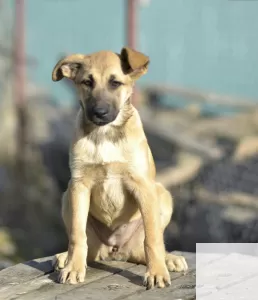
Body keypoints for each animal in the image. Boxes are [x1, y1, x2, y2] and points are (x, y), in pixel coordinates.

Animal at [51, 48, 187, 290]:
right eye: (87, 82)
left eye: (115, 83)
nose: (99, 113)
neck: (105, 133)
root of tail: (116, 251)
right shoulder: (79, 185)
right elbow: (77, 235)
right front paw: (73, 268)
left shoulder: (142, 185)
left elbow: (153, 239)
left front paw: (156, 272)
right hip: (67, 197)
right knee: (86, 245)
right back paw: (64, 258)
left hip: (162, 194)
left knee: (150, 244)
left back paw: (169, 260)